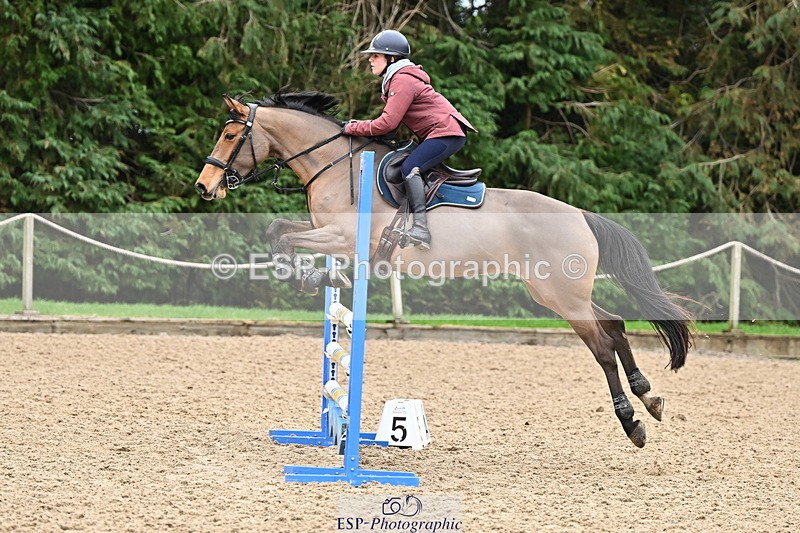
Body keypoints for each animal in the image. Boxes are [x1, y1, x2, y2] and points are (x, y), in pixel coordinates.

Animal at [195, 91, 693, 448]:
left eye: (228, 136)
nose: (204, 186)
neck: (336, 167)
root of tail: (580, 214)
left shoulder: (341, 237)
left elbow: (281, 236)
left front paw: (310, 275)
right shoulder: (325, 232)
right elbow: (279, 229)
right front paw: (317, 276)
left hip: (561, 296)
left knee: (602, 347)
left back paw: (632, 422)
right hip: (560, 292)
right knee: (615, 324)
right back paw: (650, 396)